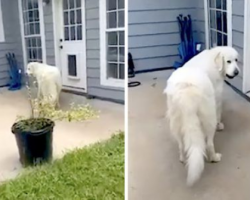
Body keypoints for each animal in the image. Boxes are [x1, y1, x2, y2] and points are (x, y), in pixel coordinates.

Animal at [164, 46, 240, 186]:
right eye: (228, 61)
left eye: (236, 60)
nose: (237, 72)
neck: (215, 60)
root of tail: (186, 88)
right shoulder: (217, 96)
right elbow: (219, 112)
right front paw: (219, 125)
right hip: (208, 117)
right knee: (209, 143)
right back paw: (214, 157)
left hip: (176, 120)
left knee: (181, 144)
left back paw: (183, 158)